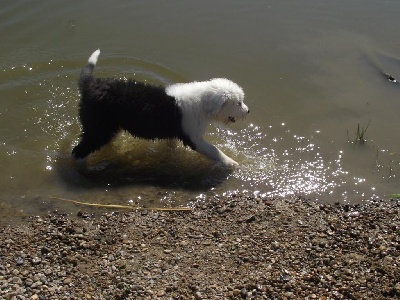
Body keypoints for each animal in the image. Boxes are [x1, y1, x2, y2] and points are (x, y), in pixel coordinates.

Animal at [70, 49, 248, 166]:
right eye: (238, 102)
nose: (248, 111)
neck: (202, 103)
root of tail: (91, 84)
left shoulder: (176, 131)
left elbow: (171, 144)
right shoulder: (194, 137)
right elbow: (214, 150)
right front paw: (231, 163)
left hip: (106, 126)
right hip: (98, 127)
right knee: (78, 151)